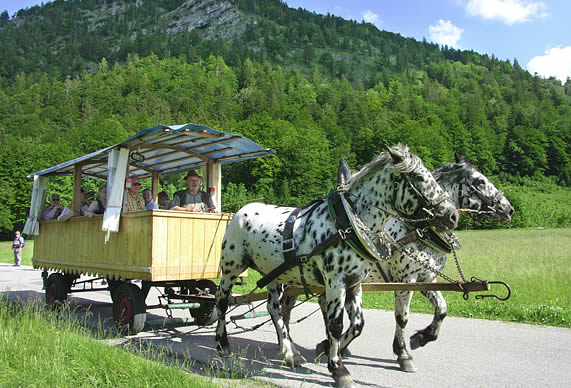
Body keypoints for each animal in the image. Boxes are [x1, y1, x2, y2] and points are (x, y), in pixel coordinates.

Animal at [214, 145, 460, 388]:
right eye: (418, 177)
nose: (453, 215)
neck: (347, 224)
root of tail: (242, 210)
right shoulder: (336, 282)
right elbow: (335, 325)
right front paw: (338, 368)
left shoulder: (355, 282)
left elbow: (357, 323)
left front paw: (332, 351)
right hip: (231, 268)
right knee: (222, 302)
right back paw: (222, 343)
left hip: (275, 275)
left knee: (274, 308)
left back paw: (290, 352)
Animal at [306, 154, 516, 372]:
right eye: (479, 181)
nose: (509, 209)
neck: (418, 229)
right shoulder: (406, 280)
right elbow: (402, 317)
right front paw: (403, 353)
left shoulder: (427, 279)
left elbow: (442, 309)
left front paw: (422, 337)